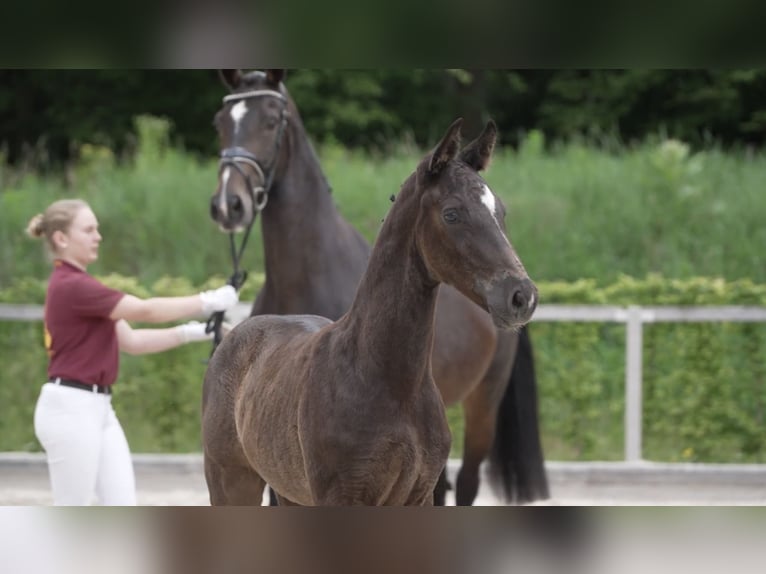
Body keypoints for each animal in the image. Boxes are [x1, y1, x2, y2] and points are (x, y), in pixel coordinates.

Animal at [207, 71, 548, 508]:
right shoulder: (340, 496)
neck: (388, 379)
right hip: (236, 482)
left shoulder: (416, 495)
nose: (522, 295)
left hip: (483, 403)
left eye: (500, 211)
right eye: (452, 213)